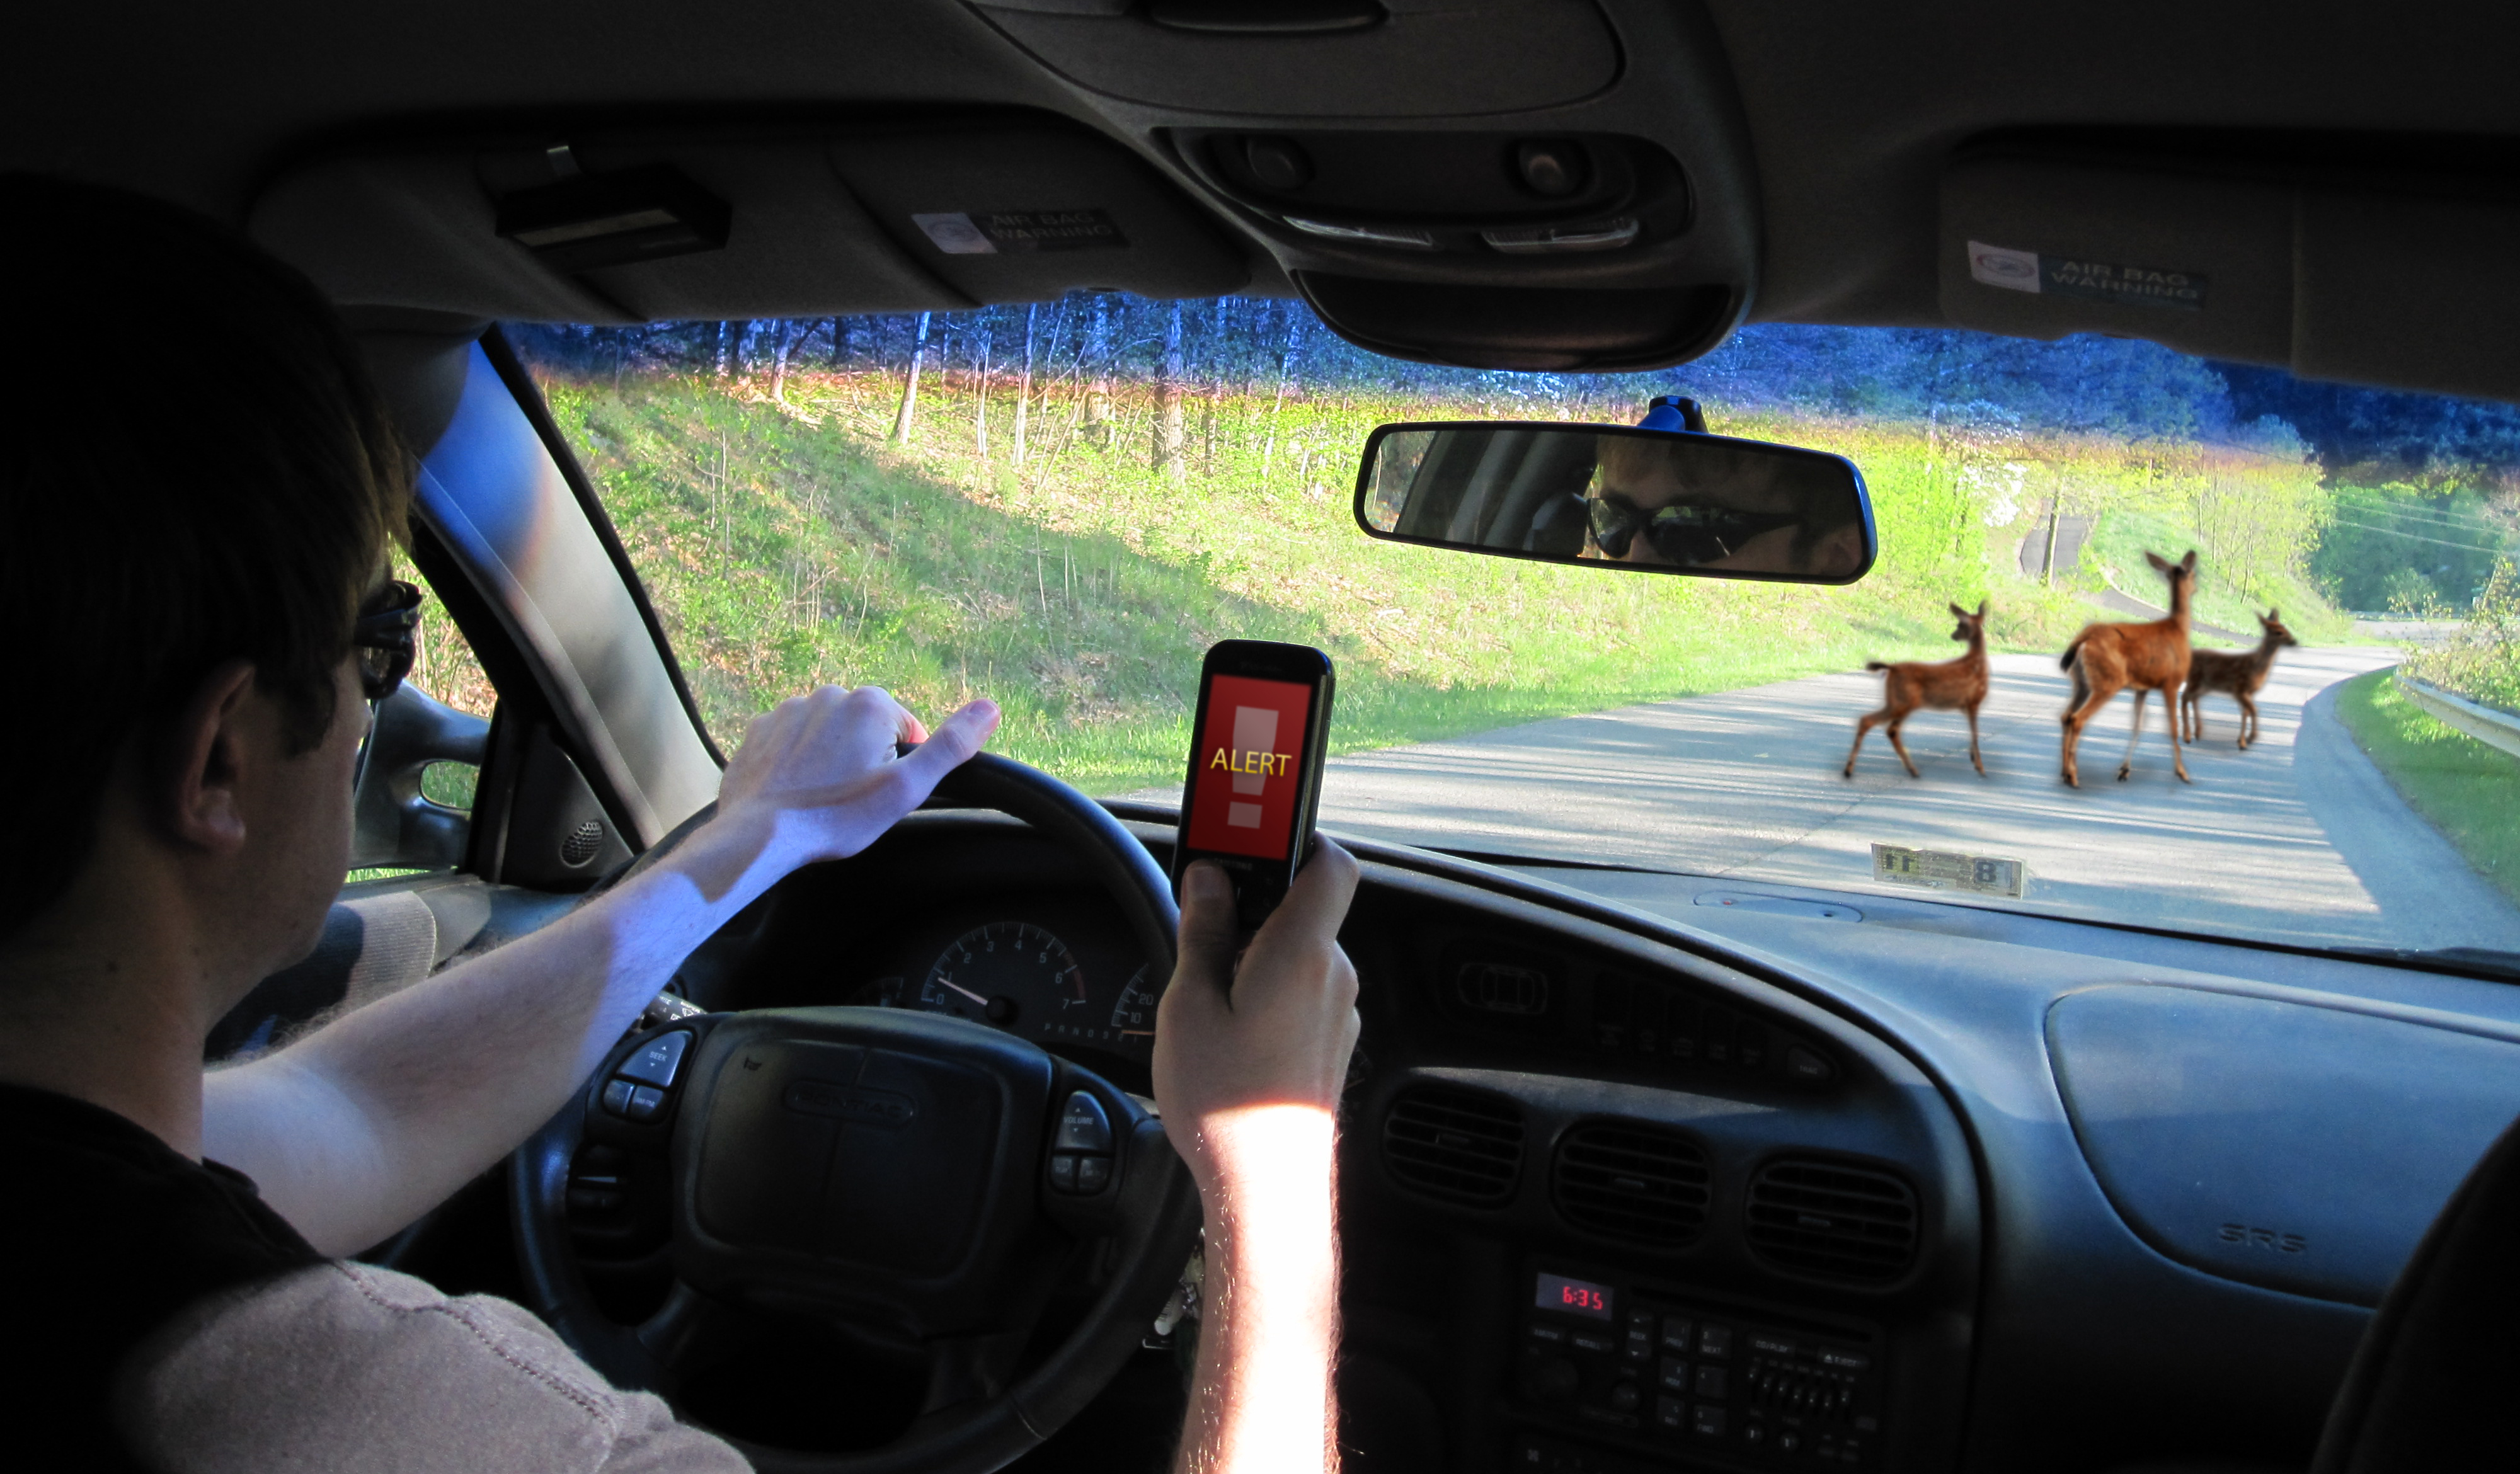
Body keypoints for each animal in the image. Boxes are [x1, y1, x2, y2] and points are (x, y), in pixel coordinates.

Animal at [1845, 601, 1990, 779]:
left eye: (1960, 625)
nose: (1953, 636)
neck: (1978, 663)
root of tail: (1892, 668)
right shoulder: (1974, 701)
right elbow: (1976, 734)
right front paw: (1981, 768)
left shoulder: (1967, 705)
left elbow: (1972, 733)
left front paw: (1974, 760)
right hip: (1905, 701)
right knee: (1873, 723)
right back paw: (1850, 770)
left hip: (1897, 701)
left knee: (1887, 729)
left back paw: (1910, 770)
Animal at [2058, 549, 2197, 787]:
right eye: (2194, 574)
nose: (2196, 588)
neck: (2178, 629)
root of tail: (2084, 638)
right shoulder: (2171, 683)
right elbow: (2172, 728)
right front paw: (2183, 773)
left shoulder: (2143, 688)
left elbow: (2137, 725)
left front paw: (2124, 770)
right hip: (2108, 681)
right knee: (2077, 719)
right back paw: (2073, 776)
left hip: (2082, 683)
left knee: (2066, 716)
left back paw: (2063, 773)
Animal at [2181, 609, 2299, 748]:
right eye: (2279, 632)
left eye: (2285, 628)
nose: (2294, 641)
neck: (2256, 667)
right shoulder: (2240, 690)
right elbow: (2254, 710)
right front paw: (2250, 739)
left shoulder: (2249, 692)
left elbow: (2246, 713)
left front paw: (2242, 740)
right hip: (2194, 680)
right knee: (2185, 698)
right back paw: (2187, 736)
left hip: (2205, 685)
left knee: (2194, 698)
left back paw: (2198, 733)